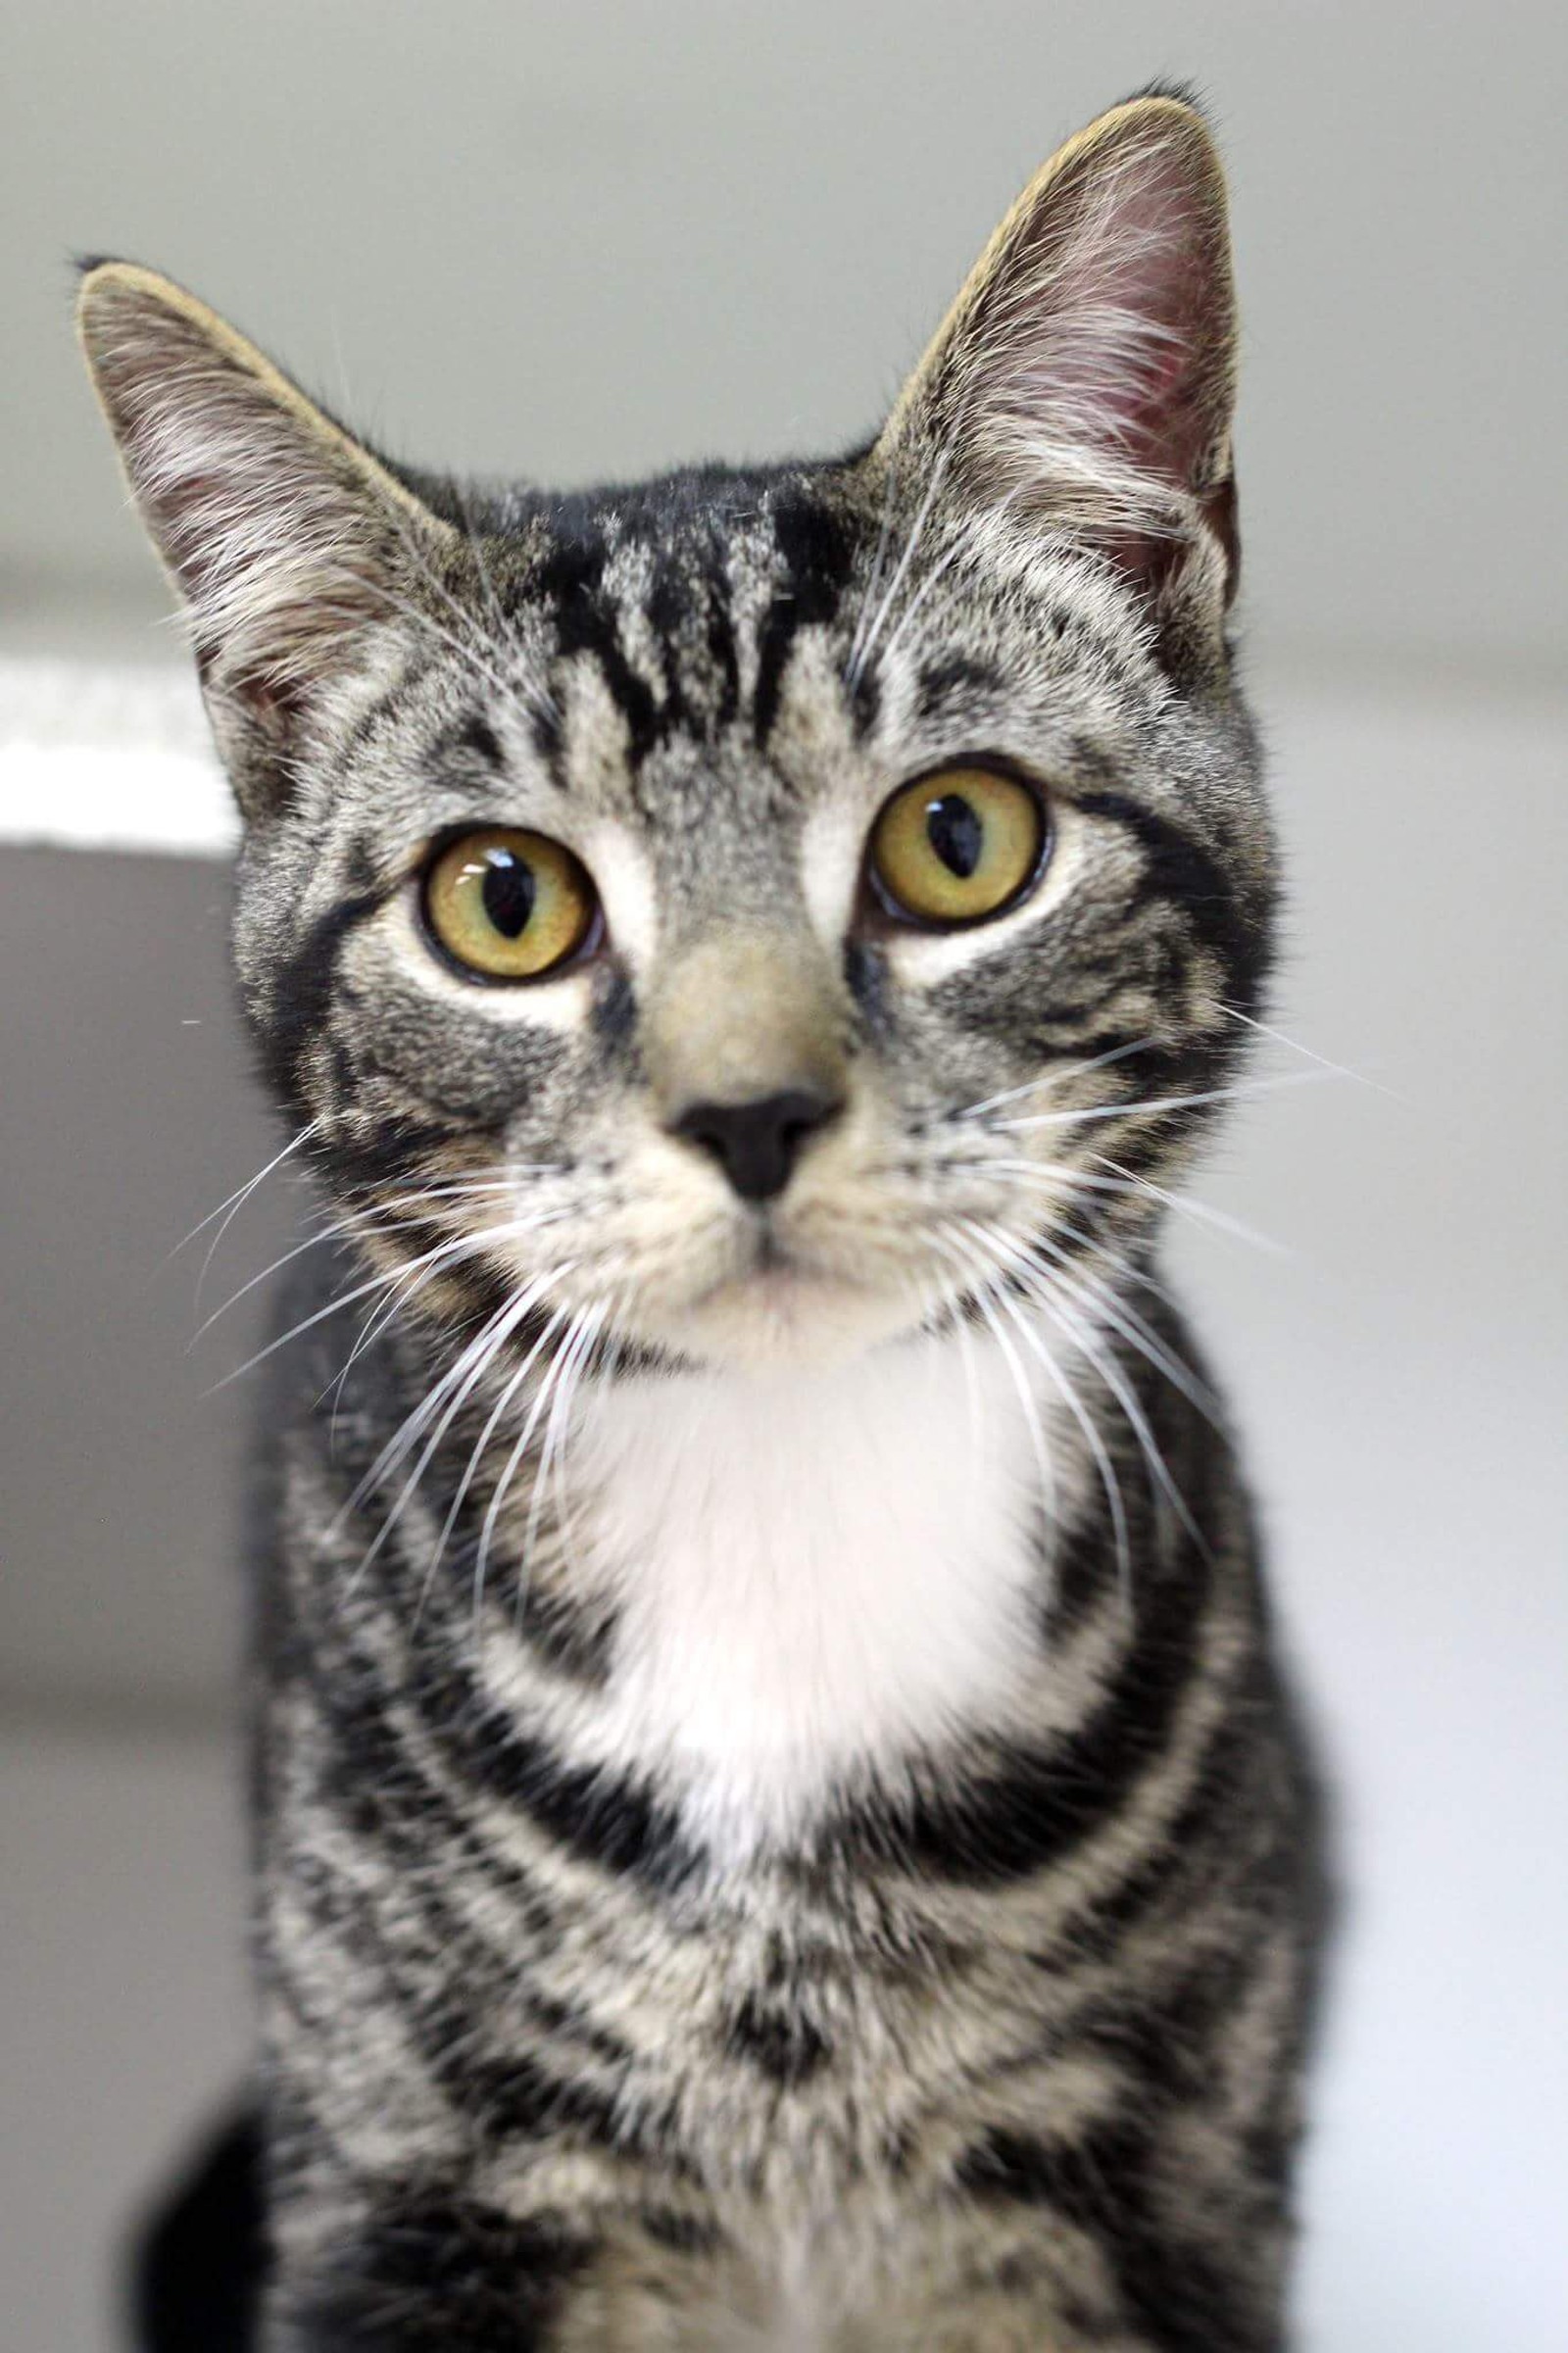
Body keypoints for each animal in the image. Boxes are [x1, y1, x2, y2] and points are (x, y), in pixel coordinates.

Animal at [82, 86, 1318, 2353]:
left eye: (958, 840)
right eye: (501, 900)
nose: (750, 1109)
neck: (779, 1509)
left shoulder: (1151, 2195)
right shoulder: (414, 2172)